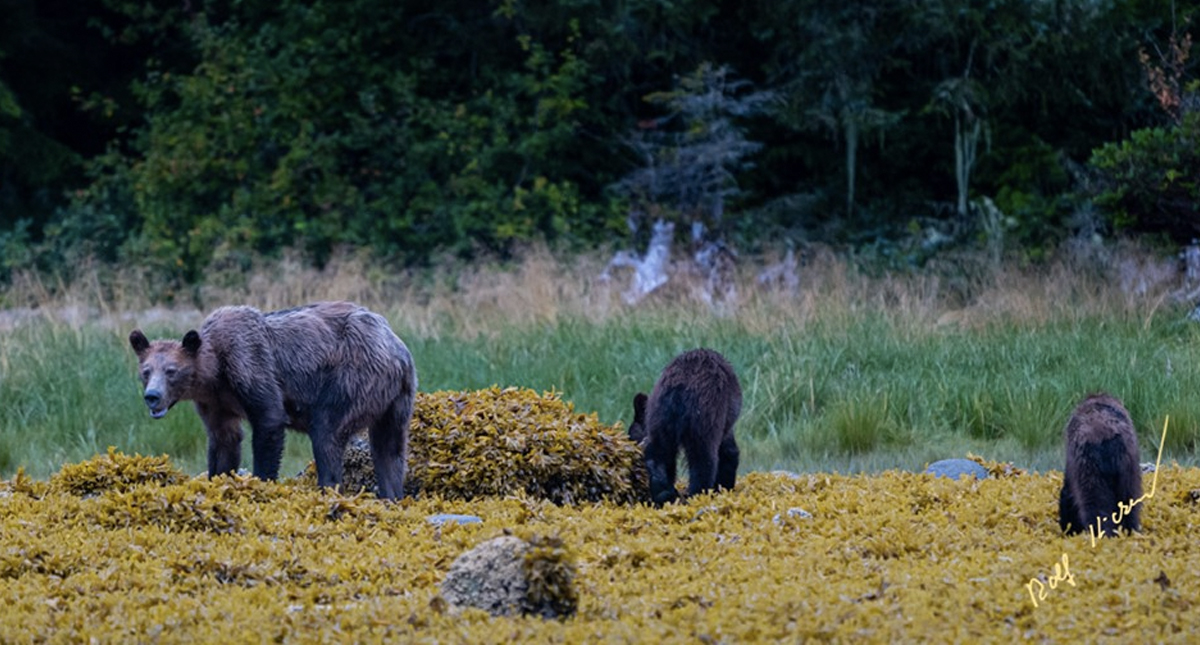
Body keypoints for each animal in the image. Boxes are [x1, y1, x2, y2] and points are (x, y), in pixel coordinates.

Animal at [129, 301, 418, 500]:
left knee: (327, 433)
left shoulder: (249, 364)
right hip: (395, 401)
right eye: (146, 371)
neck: (215, 372)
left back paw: (328, 488)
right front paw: (217, 478)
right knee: (389, 449)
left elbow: (269, 420)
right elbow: (224, 439)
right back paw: (392, 494)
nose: (152, 397)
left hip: (351, 378)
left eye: (171, 371)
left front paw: (260, 481)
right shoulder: (215, 401)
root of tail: (397, 349)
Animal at [628, 348, 742, 505]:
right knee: (703, 460)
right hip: (703, 417)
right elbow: (729, 452)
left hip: (661, 416)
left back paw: (664, 494)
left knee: (659, 454)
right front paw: (724, 487)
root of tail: (678, 389)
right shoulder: (724, 421)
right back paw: (697, 495)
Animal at [1058, 392, 1143, 537]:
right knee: (1129, 499)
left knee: (1095, 501)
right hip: (1128, 464)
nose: (1066, 529)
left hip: (1089, 464)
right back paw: (1130, 529)